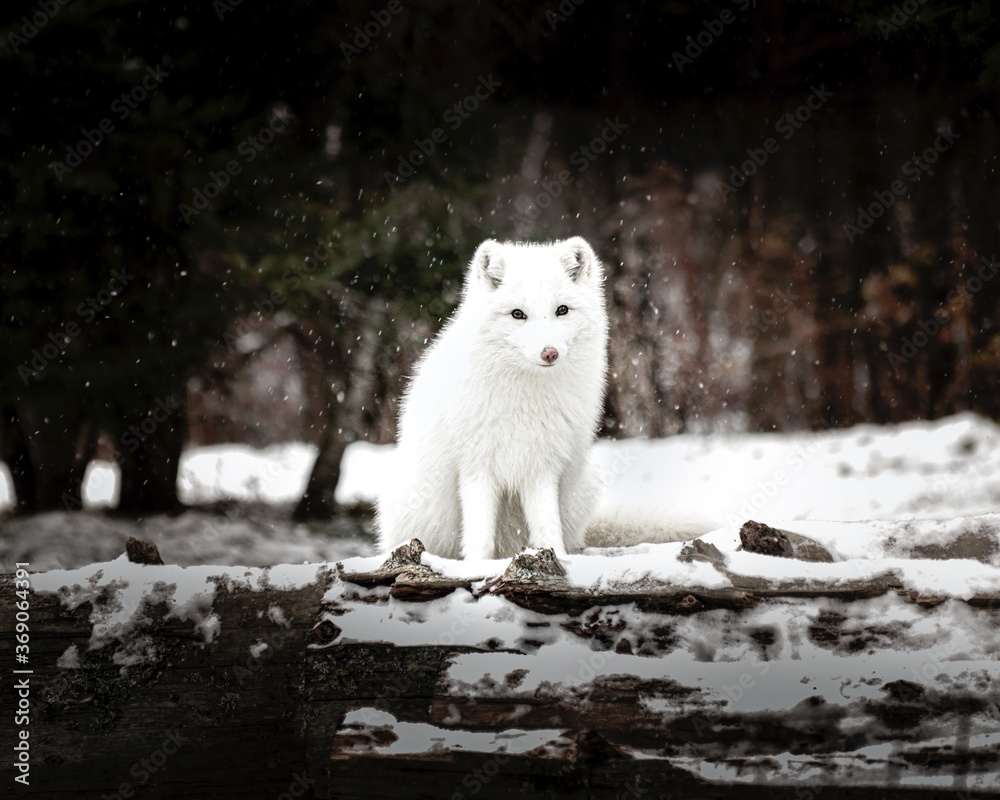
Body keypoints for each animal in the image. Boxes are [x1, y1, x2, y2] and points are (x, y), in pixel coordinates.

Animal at [376, 237, 713, 560]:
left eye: (561, 310)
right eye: (518, 314)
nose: (549, 352)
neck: (525, 399)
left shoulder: (541, 465)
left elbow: (547, 526)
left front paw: (557, 559)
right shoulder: (476, 467)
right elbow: (480, 536)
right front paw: (477, 566)